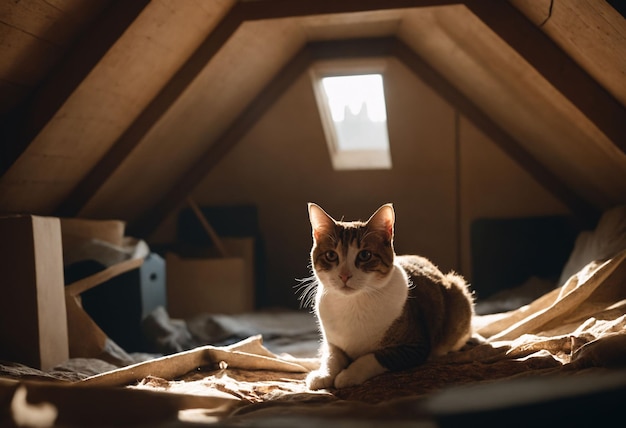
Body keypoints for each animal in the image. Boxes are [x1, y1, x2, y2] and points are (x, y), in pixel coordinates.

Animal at [304, 202, 472, 390]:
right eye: (331, 255)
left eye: (365, 255)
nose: (344, 276)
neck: (353, 302)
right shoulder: (332, 343)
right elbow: (332, 357)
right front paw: (323, 375)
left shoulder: (414, 346)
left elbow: (371, 357)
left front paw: (347, 375)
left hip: (457, 291)